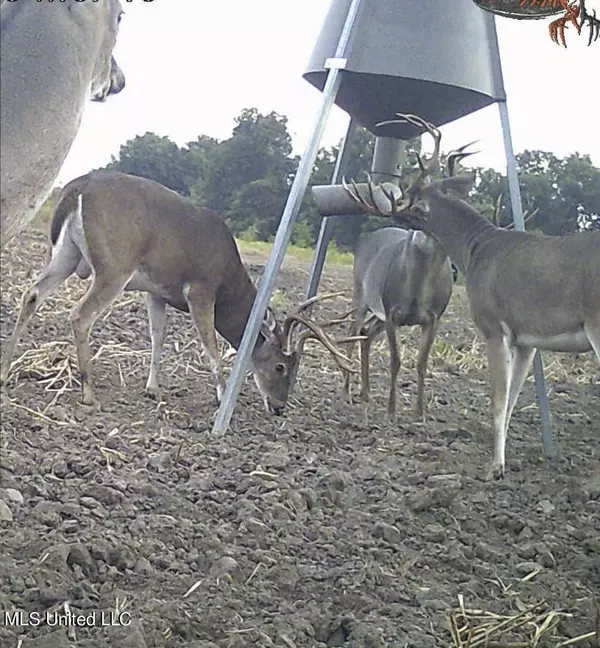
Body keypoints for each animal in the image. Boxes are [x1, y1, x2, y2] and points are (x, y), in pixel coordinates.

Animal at [0, 171, 354, 416]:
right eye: (281, 366)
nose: (279, 406)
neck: (229, 281)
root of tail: (79, 186)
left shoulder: (157, 291)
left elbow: (158, 336)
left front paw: (153, 389)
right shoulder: (200, 289)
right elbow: (211, 345)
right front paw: (222, 396)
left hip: (67, 253)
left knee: (31, 294)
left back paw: (5, 372)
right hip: (115, 263)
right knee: (80, 314)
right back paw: (88, 391)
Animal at [342, 115, 600, 480]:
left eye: (410, 196)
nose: (389, 211)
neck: (475, 250)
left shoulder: (493, 324)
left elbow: (497, 398)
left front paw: (495, 467)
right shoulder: (526, 340)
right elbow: (511, 398)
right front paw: (501, 460)